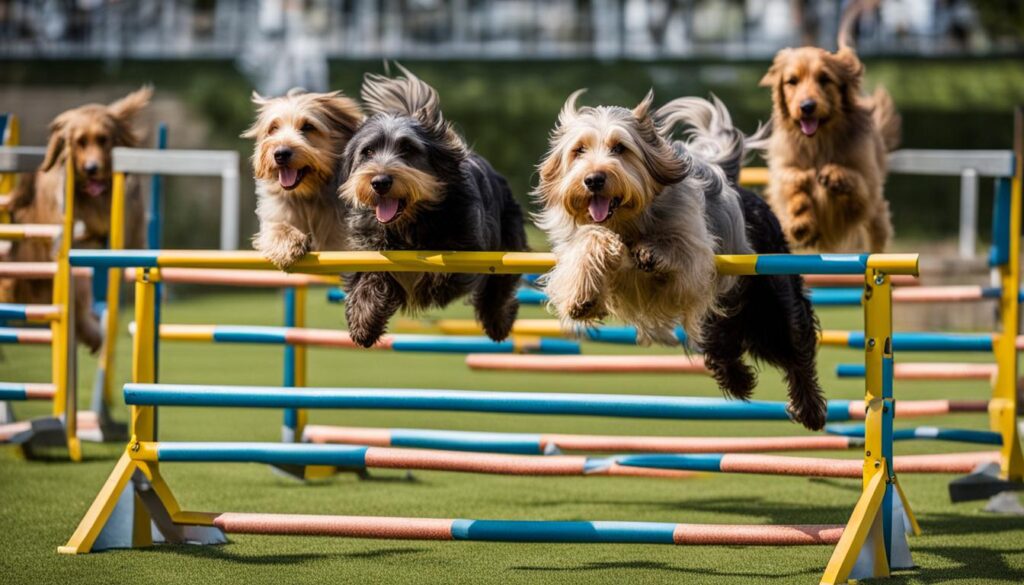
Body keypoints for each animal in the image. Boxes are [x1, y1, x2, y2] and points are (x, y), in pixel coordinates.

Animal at [244, 87, 364, 270]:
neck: (307, 195)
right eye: (273, 128)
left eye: (308, 126)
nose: (280, 153)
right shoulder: (276, 213)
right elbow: (276, 227)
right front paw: (287, 244)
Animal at [339, 65, 528, 348]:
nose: (380, 182)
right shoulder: (367, 248)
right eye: (368, 151)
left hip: (509, 240)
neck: (411, 222)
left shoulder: (469, 249)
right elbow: (370, 278)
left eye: (408, 149)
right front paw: (364, 321)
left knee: (500, 287)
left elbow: (444, 273)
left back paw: (498, 322)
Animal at [536, 91, 823, 430]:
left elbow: (680, 252)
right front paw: (582, 297)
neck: (629, 222)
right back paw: (738, 379)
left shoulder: (694, 262)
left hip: (772, 298)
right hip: (722, 318)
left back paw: (809, 408)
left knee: (796, 345)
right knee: (724, 345)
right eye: (579, 150)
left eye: (619, 148)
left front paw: (653, 252)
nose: (593, 180)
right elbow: (587, 246)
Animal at [757, 18, 901, 252]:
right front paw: (800, 218)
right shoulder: (782, 170)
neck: (817, 142)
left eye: (824, 79)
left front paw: (834, 175)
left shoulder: (865, 191)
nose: (807, 107)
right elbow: (791, 182)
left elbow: (858, 184)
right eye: (792, 81)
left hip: (876, 222)